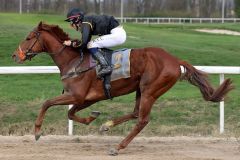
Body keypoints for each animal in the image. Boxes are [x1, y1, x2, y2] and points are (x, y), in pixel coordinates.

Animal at [12, 21, 233, 156]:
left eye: (29, 37)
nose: (15, 55)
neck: (74, 60)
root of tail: (175, 59)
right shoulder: (87, 98)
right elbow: (71, 114)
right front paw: (93, 118)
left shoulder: (77, 95)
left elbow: (47, 103)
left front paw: (37, 131)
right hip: (141, 90)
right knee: (135, 113)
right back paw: (107, 125)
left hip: (151, 90)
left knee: (142, 120)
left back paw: (118, 147)